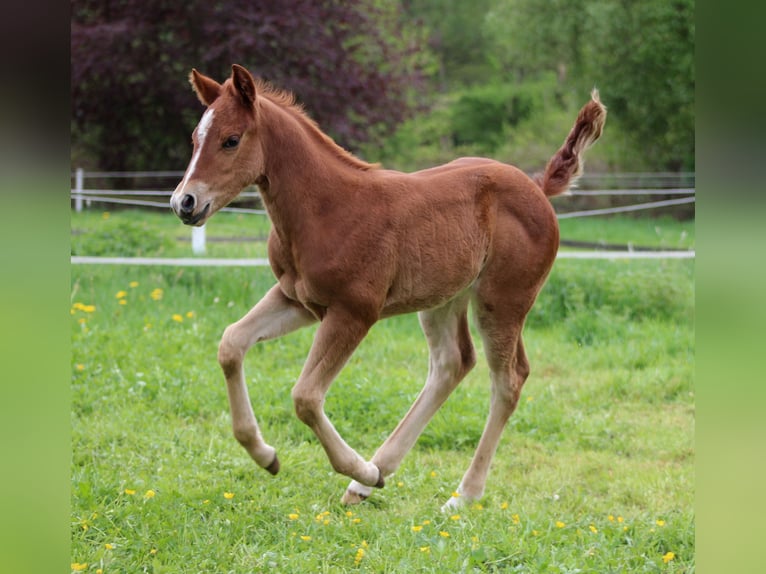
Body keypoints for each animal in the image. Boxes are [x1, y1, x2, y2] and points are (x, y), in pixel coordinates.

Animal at [170, 64, 605, 509]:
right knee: (452, 363)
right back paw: (371, 481)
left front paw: (357, 467)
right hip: (443, 298)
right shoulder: (297, 299)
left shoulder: (355, 312)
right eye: (195, 139)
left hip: (501, 301)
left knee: (508, 380)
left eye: (231, 139)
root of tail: (537, 187)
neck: (326, 208)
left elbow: (306, 397)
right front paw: (266, 456)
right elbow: (231, 343)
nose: (183, 203)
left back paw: (460, 495)